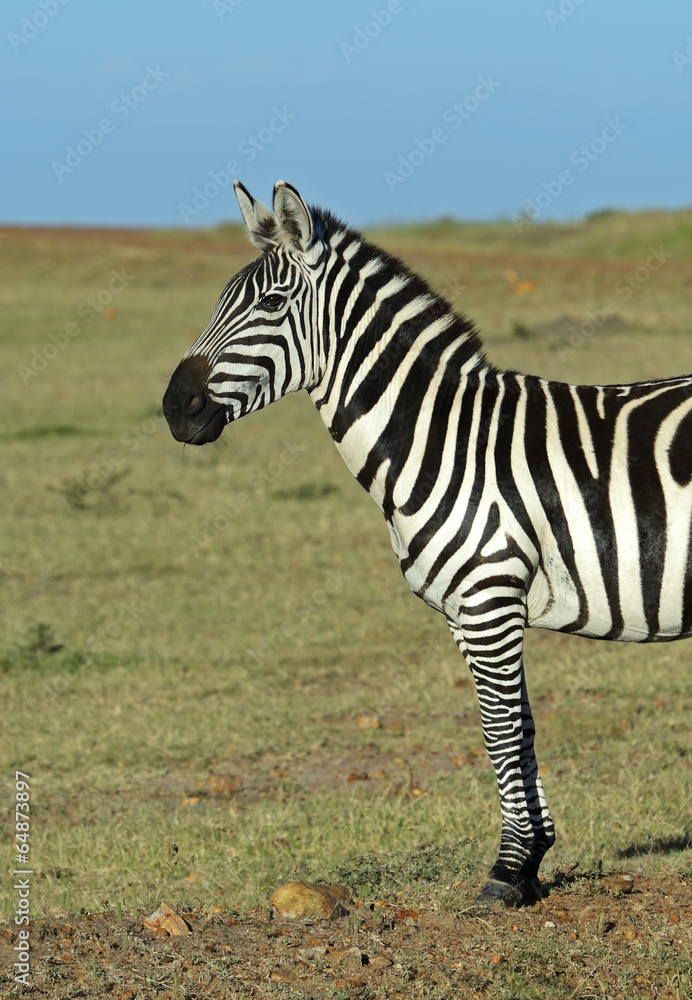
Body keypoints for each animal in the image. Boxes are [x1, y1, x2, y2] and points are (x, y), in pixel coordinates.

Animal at [163, 180, 692, 906]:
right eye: (219, 301)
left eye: (271, 305)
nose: (173, 407)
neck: (442, 441)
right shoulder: (471, 615)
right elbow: (521, 726)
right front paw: (532, 862)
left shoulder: (488, 599)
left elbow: (499, 732)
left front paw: (505, 873)